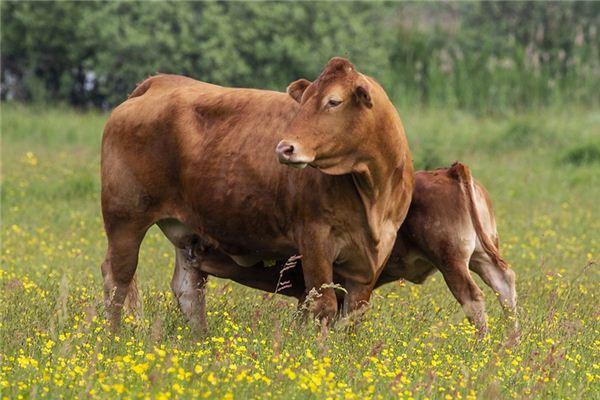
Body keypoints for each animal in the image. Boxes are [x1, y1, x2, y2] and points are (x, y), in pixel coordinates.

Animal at [102, 57, 412, 332]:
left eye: (334, 101)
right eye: (304, 100)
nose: (285, 148)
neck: (373, 192)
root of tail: (159, 82)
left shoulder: (371, 258)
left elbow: (353, 315)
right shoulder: (315, 239)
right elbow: (322, 305)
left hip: (186, 232)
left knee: (187, 289)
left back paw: (200, 340)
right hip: (125, 218)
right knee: (117, 279)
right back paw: (114, 337)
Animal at [204, 162, 516, 334]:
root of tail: (450, 171)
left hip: (451, 260)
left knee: (473, 298)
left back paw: (483, 344)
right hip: (480, 255)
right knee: (504, 283)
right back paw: (509, 344)